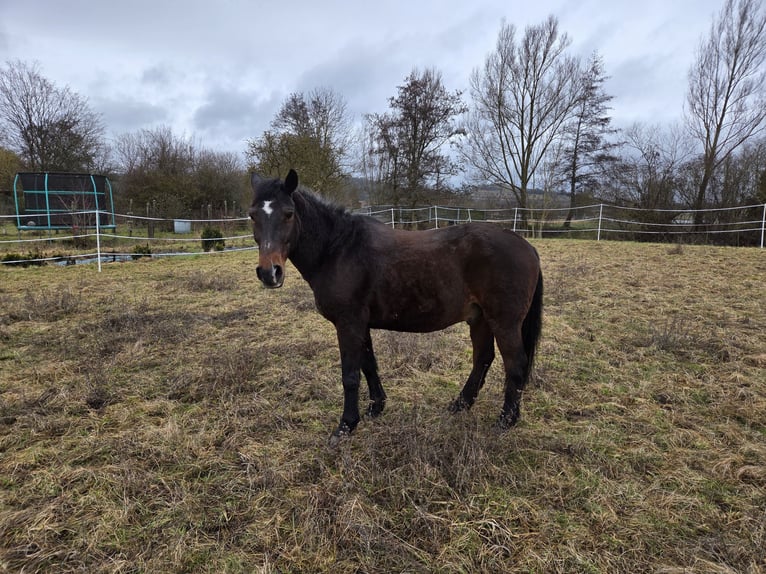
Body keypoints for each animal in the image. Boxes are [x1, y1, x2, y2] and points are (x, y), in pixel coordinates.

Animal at [248, 170, 543, 445]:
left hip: (504, 322)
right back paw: (460, 405)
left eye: (288, 214)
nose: (269, 273)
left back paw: (506, 420)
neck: (338, 249)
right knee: (482, 359)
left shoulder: (348, 323)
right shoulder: (360, 325)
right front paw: (375, 409)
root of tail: (526, 246)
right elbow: (369, 365)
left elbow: (350, 375)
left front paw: (345, 426)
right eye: (252, 216)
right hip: (479, 319)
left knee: (515, 364)